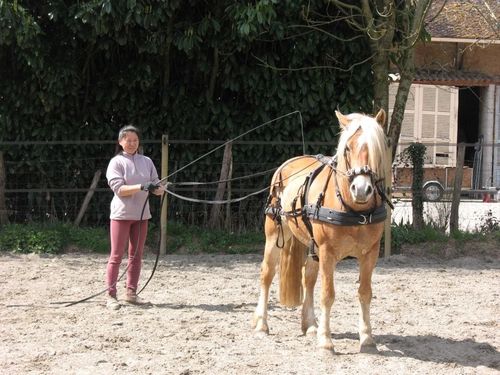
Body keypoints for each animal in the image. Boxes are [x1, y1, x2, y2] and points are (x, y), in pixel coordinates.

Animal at [250, 108, 390, 352]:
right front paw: (326, 340)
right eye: (347, 148)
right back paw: (262, 325)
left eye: (376, 148)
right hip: (275, 234)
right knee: (267, 274)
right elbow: (327, 294)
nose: (361, 189)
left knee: (308, 278)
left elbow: (364, 293)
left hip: (311, 245)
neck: (353, 208)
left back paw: (310, 325)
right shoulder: (327, 252)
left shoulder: (370, 254)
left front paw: (366, 337)